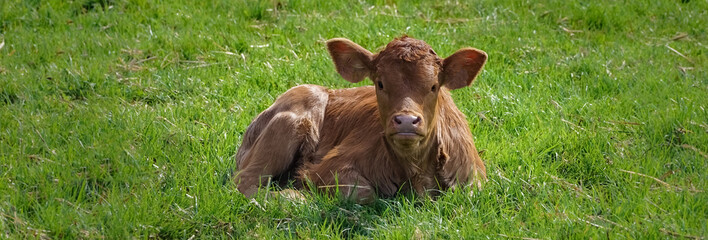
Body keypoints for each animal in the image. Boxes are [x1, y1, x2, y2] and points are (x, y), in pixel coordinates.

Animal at [235, 37, 490, 202]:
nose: (406, 121)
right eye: (380, 83)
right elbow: (364, 193)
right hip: (288, 125)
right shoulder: (328, 167)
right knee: (245, 180)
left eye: (434, 86)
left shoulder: (474, 174)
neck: (415, 170)